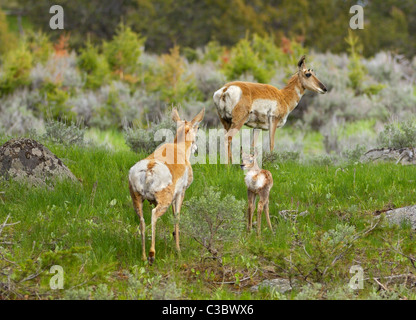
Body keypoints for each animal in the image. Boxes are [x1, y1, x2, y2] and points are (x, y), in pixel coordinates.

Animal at [127, 107, 204, 262]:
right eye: (197, 127)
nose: (196, 148)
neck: (179, 149)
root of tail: (149, 167)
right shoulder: (181, 193)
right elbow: (177, 217)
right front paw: (178, 250)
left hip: (137, 199)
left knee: (142, 221)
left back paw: (143, 256)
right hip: (163, 201)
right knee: (154, 215)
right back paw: (151, 254)